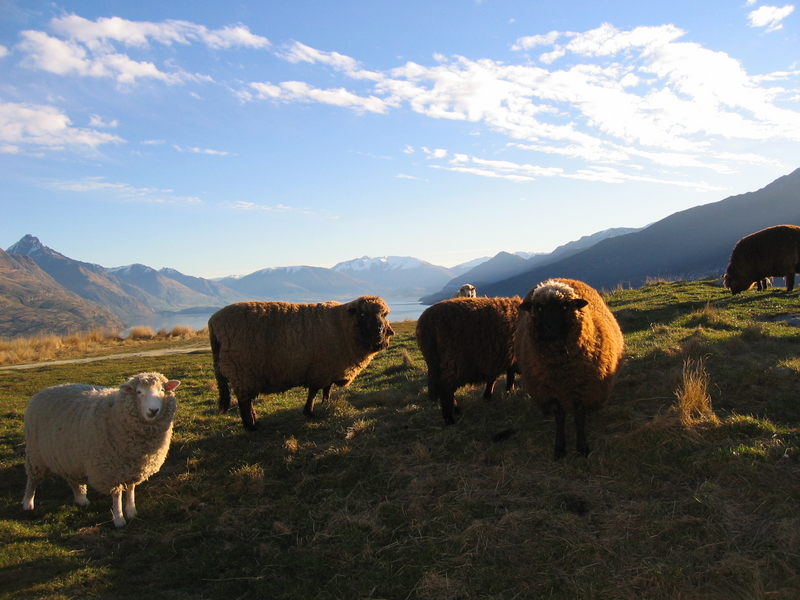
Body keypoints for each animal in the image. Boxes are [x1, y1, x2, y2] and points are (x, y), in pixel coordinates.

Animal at [22, 373, 180, 528]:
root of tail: (43, 391)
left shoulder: (133, 467)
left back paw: (81, 499)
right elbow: (116, 495)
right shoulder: (110, 470)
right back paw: (28, 504)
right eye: (139, 392)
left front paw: (131, 511)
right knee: (32, 480)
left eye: (162, 390)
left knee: (72, 479)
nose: (153, 410)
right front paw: (119, 518)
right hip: (35, 454)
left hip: (68, 456)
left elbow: (130, 489)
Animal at [208, 295, 394, 430]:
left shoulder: (329, 368)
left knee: (247, 401)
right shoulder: (320, 369)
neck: (343, 325)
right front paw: (309, 412)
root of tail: (213, 322)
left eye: (383, 315)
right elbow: (313, 392)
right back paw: (251, 426)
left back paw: (255, 422)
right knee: (244, 402)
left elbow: (327, 389)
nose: (379, 329)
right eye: (363, 314)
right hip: (242, 371)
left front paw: (325, 403)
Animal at [415, 296, 520, 424]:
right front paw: (508, 391)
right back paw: (450, 419)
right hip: (453, 360)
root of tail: (427, 322)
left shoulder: (495, 359)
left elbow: (496, 378)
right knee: (445, 387)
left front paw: (489, 396)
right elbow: (507, 376)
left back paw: (455, 410)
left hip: (435, 361)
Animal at [515, 279, 623, 459]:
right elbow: (559, 419)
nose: (550, 329)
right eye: (539, 308)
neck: (561, 370)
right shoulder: (552, 393)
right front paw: (560, 448)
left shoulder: (582, 389)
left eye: (564, 307)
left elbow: (579, 419)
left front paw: (582, 447)